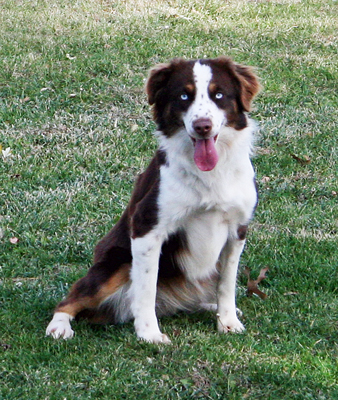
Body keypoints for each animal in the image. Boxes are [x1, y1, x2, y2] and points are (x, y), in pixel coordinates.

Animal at [46, 56, 260, 344]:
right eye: (184, 96)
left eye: (218, 95)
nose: (202, 126)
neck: (209, 175)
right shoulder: (147, 226)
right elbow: (146, 288)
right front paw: (149, 334)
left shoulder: (237, 230)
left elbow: (227, 284)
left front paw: (227, 322)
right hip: (117, 263)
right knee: (71, 299)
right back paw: (59, 326)